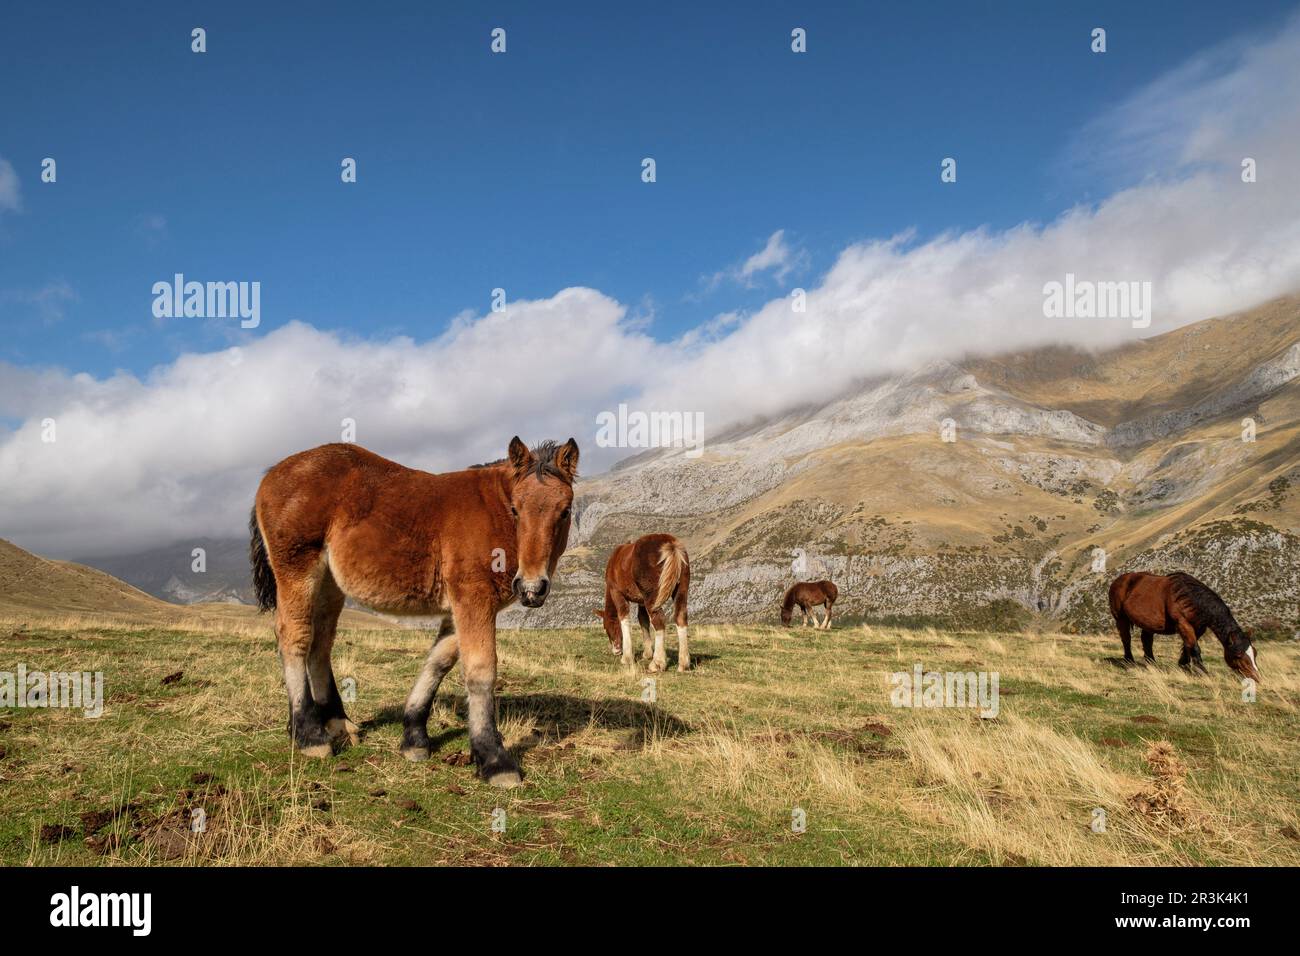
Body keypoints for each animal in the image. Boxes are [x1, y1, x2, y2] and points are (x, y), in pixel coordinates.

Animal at [250, 437, 577, 790]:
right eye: (515, 509)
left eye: (565, 510)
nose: (531, 588)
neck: (494, 509)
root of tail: (272, 473)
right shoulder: (473, 598)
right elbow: (480, 671)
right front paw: (493, 758)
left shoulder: (460, 606)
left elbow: (439, 661)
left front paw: (414, 736)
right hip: (297, 569)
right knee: (295, 636)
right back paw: (309, 734)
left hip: (330, 584)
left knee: (320, 643)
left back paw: (337, 724)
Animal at [1107, 572, 1258, 686]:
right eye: (1238, 655)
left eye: (1254, 653)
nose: (1255, 677)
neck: (1189, 597)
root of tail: (1118, 580)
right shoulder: (1183, 623)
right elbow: (1195, 648)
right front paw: (1202, 672)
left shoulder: (1198, 628)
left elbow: (1188, 646)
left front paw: (1183, 665)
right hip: (1121, 619)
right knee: (1126, 639)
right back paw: (1129, 662)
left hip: (1147, 623)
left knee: (1147, 641)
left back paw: (1151, 664)